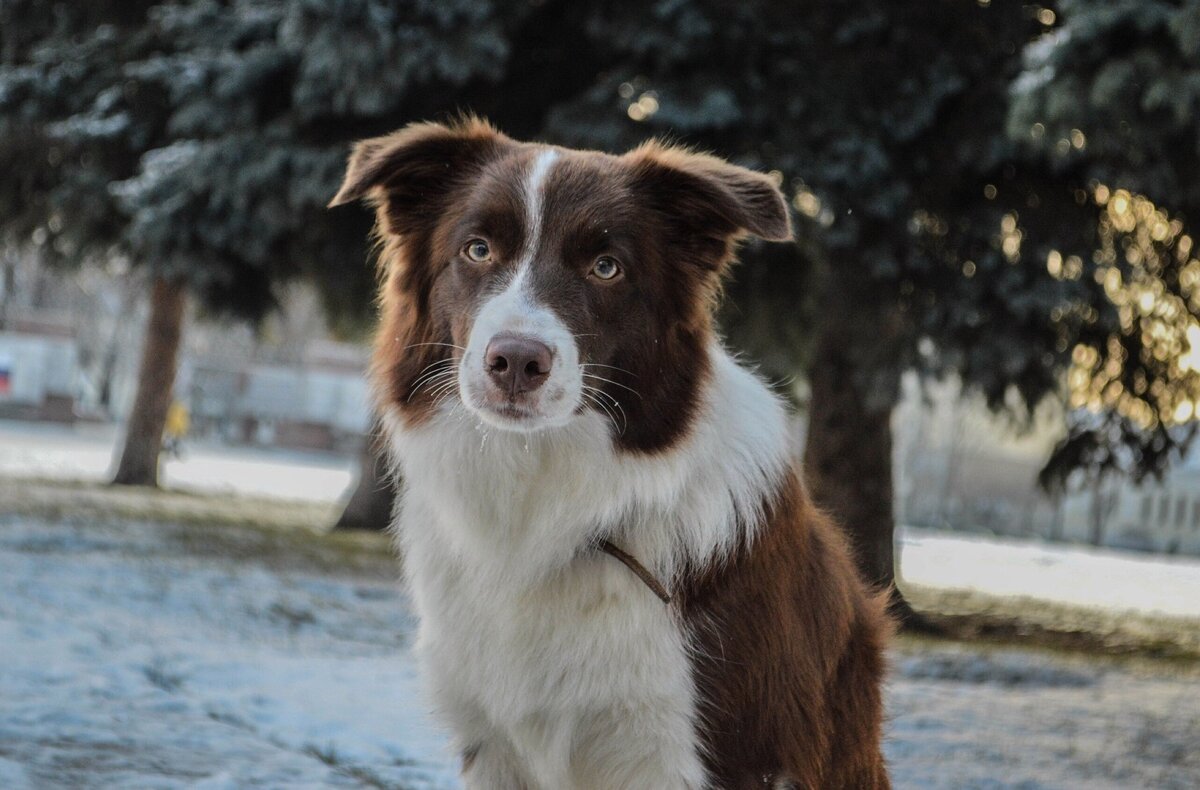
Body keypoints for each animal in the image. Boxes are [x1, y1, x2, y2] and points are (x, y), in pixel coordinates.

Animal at [328, 118, 892, 787]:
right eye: (477, 250)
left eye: (606, 267)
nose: (515, 361)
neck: (548, 505)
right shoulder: (494, 743)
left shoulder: (698, 753)